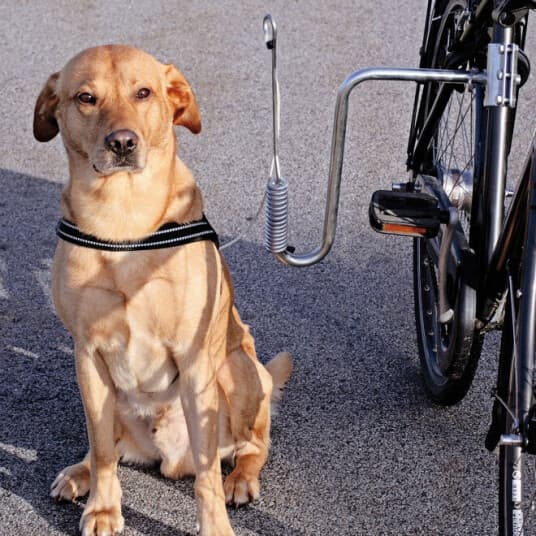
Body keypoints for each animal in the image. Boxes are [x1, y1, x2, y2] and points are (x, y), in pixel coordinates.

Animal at [32, 46, 294, 536]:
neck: (123, 224)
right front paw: (102, 507)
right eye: (86, 97)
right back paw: (80, 474)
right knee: (107, 448)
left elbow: (208, 477)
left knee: (251, 446)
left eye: (143, 92)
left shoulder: (194, 361)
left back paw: (241, 479)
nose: (122, 142)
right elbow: (101, 449)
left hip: (237, 369)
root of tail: (169, 460)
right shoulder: (88, 355)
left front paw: (215, 527)